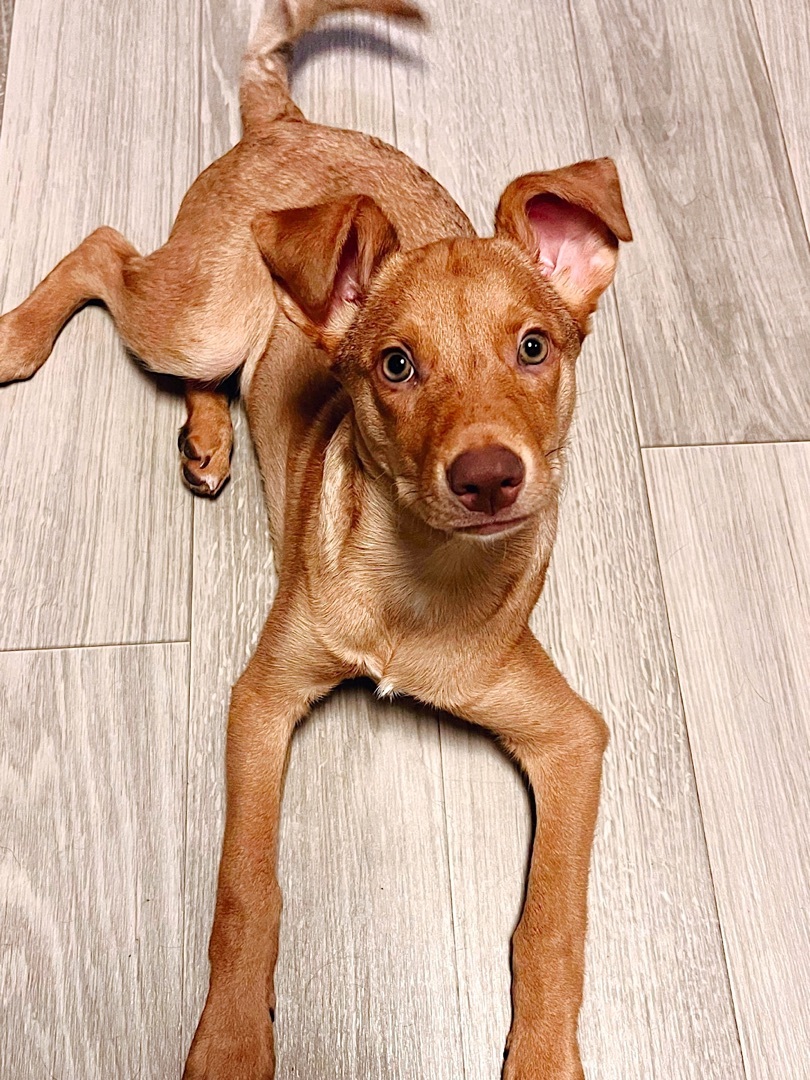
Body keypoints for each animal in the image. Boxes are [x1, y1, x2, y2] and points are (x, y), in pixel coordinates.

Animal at [0, 1, 632, 1076]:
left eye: (534, 347)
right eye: (395, 365)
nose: (488, 476)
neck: (416, 581)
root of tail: (288, 122)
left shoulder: (571, 735)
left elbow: (552, 920)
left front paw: (545, 1056)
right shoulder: (262, 698)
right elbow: (246, 890)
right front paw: (229, 1041)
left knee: (199, 348)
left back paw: (209, 438)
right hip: (199, 312)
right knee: (104, 250)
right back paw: (16, 339)